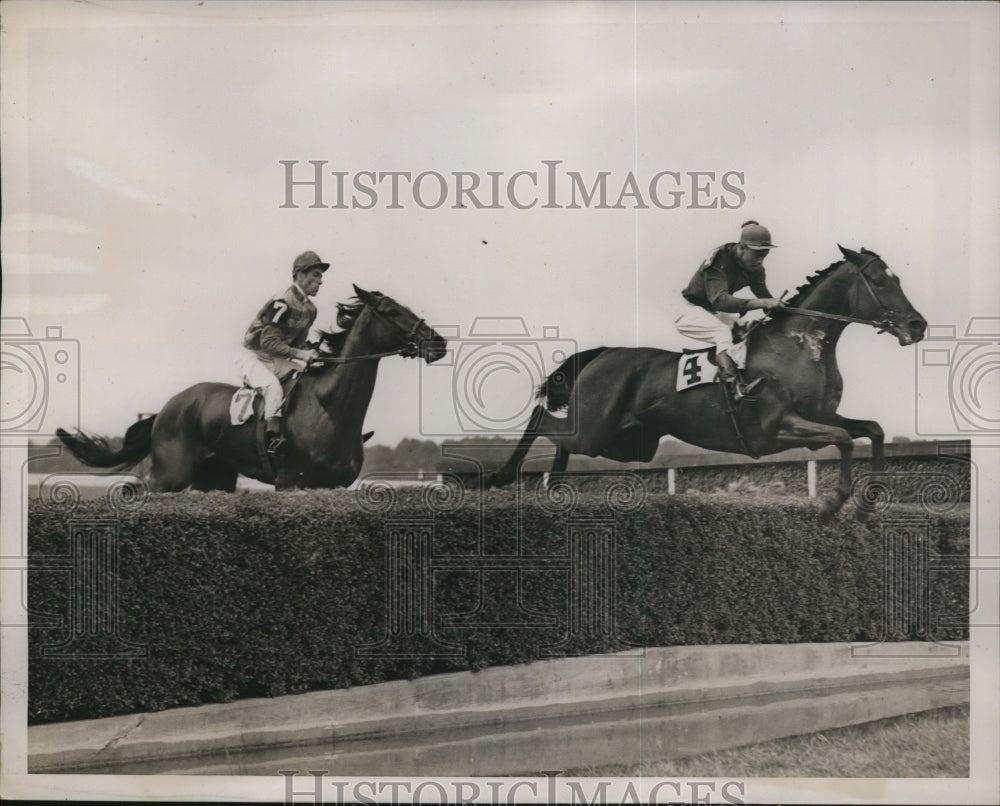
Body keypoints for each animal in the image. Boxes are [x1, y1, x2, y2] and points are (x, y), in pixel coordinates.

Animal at [55, 288, 446, 496]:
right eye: (391, 310)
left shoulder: (335, 486)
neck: (330, 410)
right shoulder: (290, 484)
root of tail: (165, 409)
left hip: (215, 477)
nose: (438, 343)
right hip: (170, 475)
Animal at [490, 246, 928, 520]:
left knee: (563, 440)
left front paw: (869, 505)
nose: (917, 325)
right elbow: (842, 439)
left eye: (898, 278)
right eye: (879, 280)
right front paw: (831, 504)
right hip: (596, 432)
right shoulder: (778, 427)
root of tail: (604, 352)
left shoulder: (821, 418)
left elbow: (872, 430)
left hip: (630, 443)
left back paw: (556, 485)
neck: (799, 344)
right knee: (544, 420)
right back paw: (504, 474)